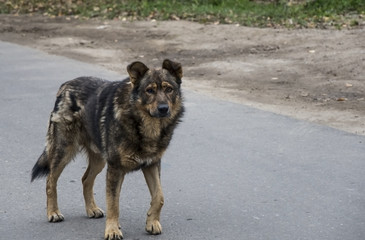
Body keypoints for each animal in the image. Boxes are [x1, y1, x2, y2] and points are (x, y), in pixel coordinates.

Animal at [30, 59, 183, 239]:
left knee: (85, 179)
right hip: (64, 152)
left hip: (99, 161)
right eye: (150, 90)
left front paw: (152, 222)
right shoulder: (115, 169)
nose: (163, 108)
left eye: (169, 89)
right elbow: (113, 203)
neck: (142, 124)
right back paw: (53, 212)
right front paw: (112, 230)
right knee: (50, 180)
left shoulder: (151, 165)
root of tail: (65, 86)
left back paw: (92, 209)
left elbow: (159, 196)